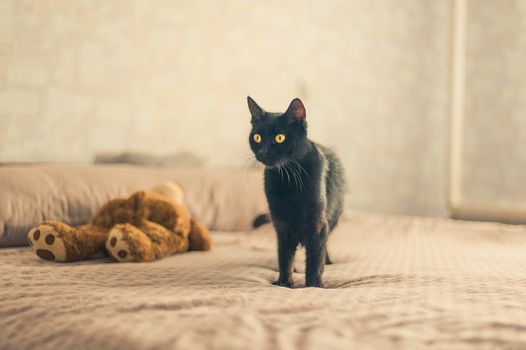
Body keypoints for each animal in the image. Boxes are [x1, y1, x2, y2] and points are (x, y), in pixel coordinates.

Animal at [248, 96, 346, 288]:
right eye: (257, 137)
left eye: (280, 138)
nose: (263, 151)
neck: (288, 180)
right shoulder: (281, 223)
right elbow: (285, 256)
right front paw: (284, 282)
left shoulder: (317, 223)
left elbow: (315, 256)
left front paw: (313, 285)